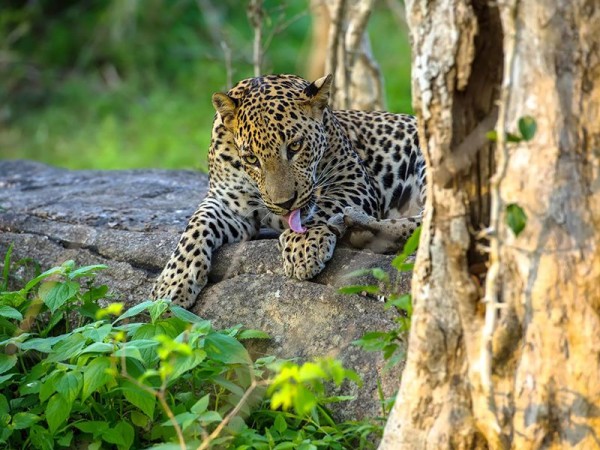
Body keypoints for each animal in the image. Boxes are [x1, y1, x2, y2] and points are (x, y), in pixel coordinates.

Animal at [152, 74, 424, 308]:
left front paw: (302, 245)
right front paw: (172, 283)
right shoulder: (228, 203)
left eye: (295, 146)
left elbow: (322, 209)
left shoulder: (353, 180)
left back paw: (358, 226)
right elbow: (196, 226)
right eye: (251, 159)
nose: (285, 203)